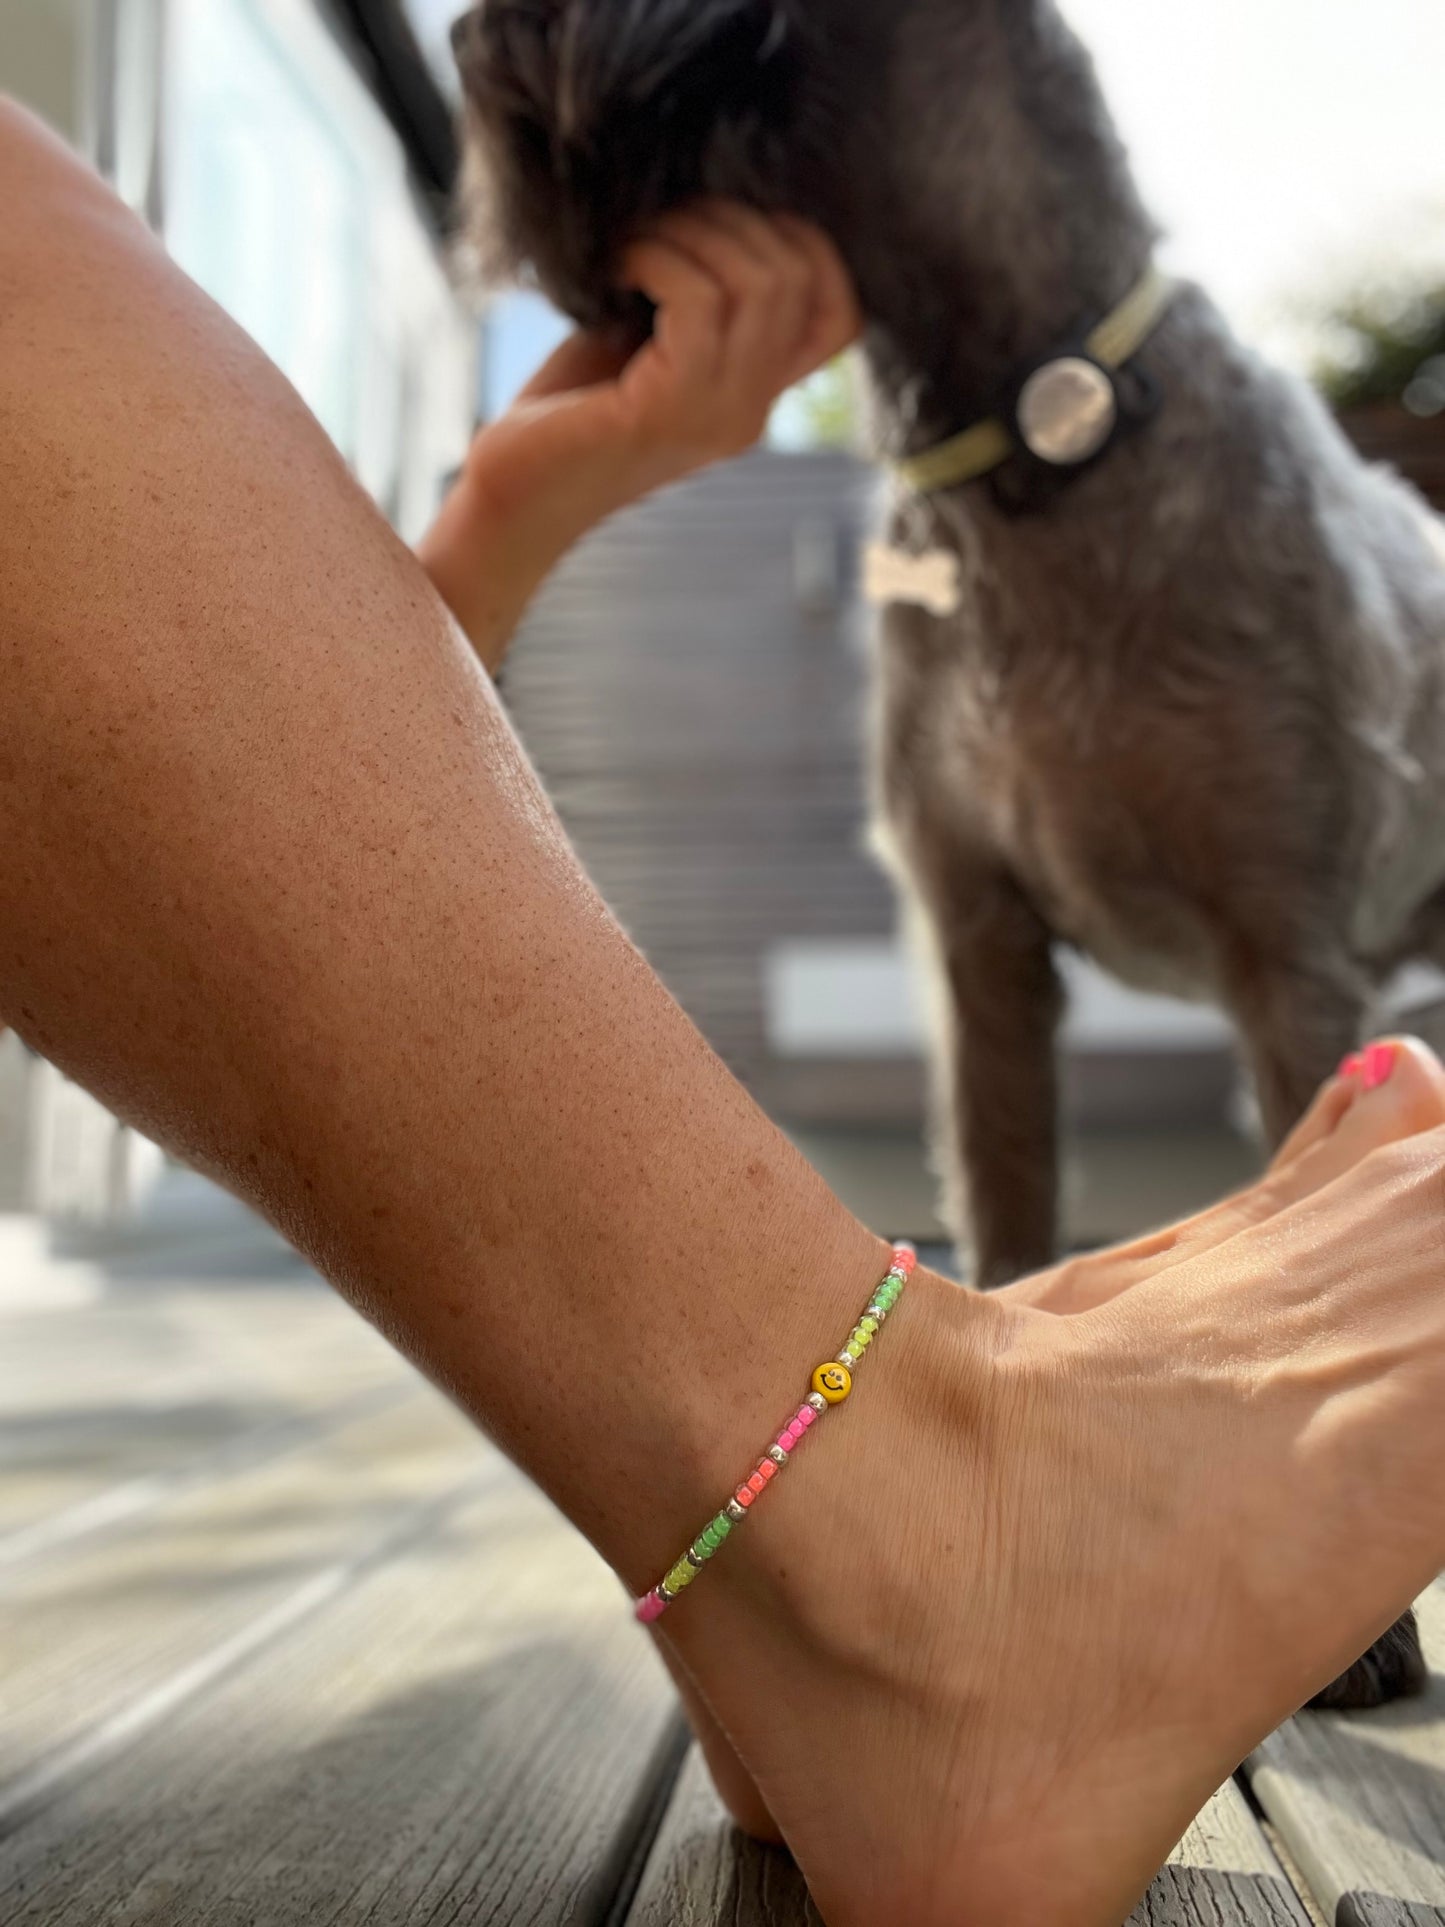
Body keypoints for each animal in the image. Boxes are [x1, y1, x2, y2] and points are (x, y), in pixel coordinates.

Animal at [452, 0, 1445, 1711]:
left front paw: (1360, 1623)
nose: (462, 41)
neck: (1044, 447)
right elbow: (1011, 1192)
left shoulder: (1287, 957)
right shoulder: (979, 950)